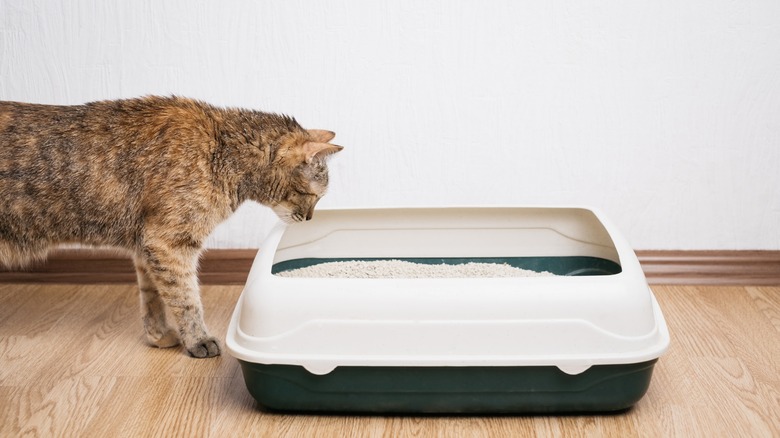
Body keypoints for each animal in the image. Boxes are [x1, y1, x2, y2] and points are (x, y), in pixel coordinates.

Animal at [0, 95, 342, 356]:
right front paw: (198, 340)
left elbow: (153, 297)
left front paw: (160, 335)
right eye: (313, 195)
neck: (221, 150)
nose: (309, 218)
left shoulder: (146, 246)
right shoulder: (169, 242)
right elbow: (186, 298)